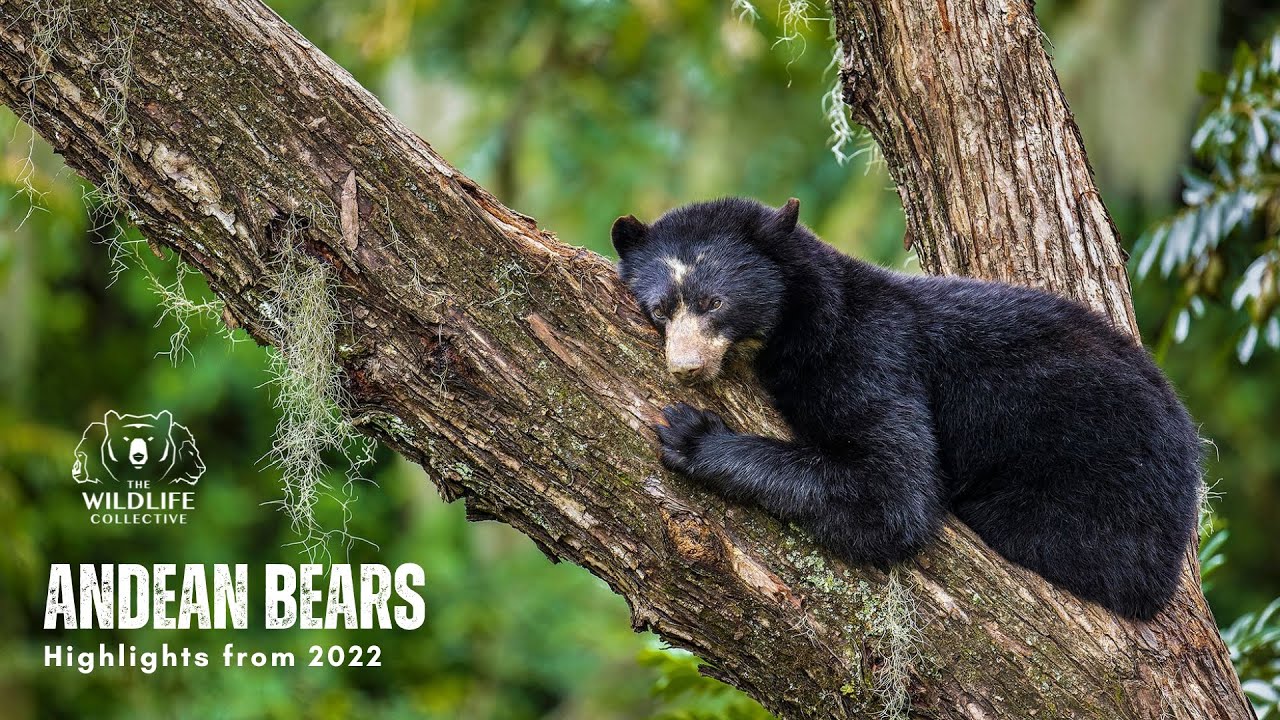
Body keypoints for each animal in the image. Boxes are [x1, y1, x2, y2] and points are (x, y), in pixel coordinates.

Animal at [611, 197, 1201, 621]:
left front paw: (692, 437)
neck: (793, 330)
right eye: (661, 309)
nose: (686, 367)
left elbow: (894, 493)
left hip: (1102, 475)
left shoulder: (869, 353)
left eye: (714, 303)